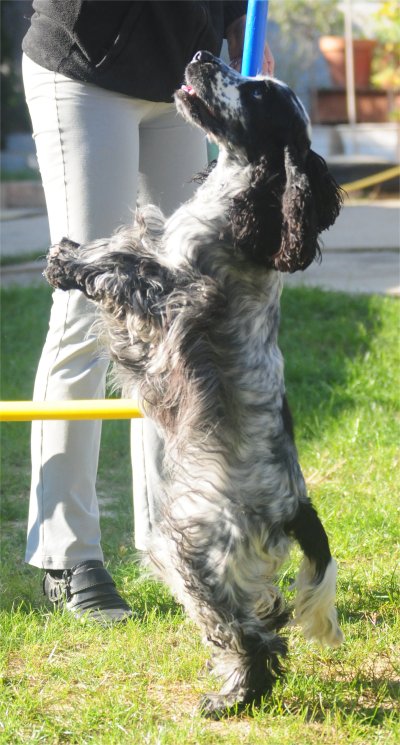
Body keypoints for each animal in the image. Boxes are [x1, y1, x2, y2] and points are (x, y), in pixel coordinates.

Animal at [45, 51, 344, 717]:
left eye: (257, 94)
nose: (206, 56)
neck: (239, 205)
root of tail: (298, 508)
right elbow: (134, 238)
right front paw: (74, 247)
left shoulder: (172, 304)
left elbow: (122, 266)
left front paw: (70, 261)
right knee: (267, 617)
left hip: (190, 548)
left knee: (252, 635)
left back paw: (232, 697)